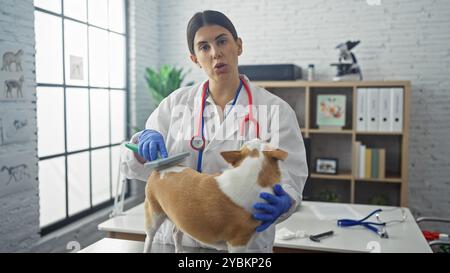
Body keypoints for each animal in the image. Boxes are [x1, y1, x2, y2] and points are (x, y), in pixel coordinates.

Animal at [143, 139, 288, 252]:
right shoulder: (238, 243)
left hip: (179, 218)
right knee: (149, 237)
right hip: (154, 215)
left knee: (176, 233)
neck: (253, 171)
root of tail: (160, 169)